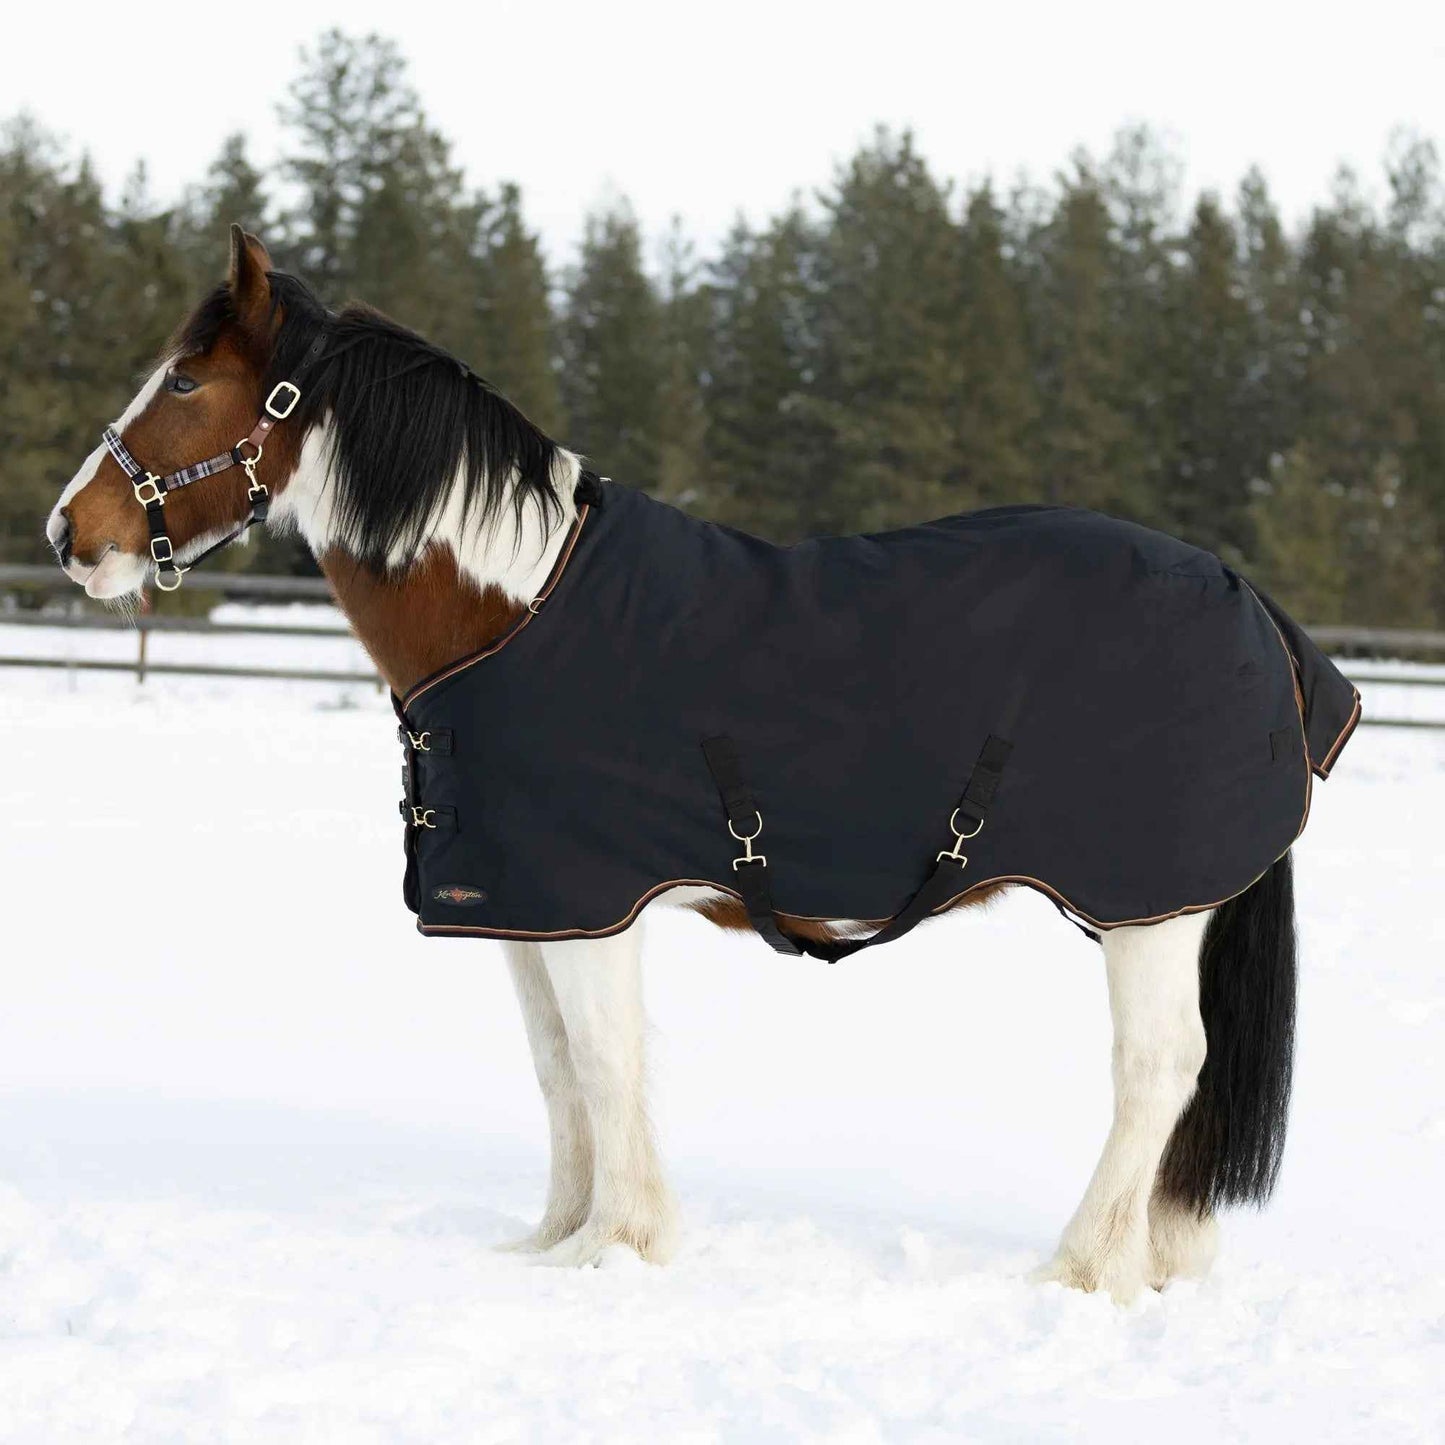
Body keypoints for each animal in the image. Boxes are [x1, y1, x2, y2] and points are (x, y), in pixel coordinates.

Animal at [46, 226, 1358, 1303]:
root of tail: (1247, 602)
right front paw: (552, 1240)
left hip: (1147, 909)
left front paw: (619, 1246)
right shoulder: (524, 909)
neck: (516, 611)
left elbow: (606, 1060)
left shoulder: (592, 905)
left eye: (183, 380)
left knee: (1159, 1068)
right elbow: (556, 1070)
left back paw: (1078, 1268)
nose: (69, 534)